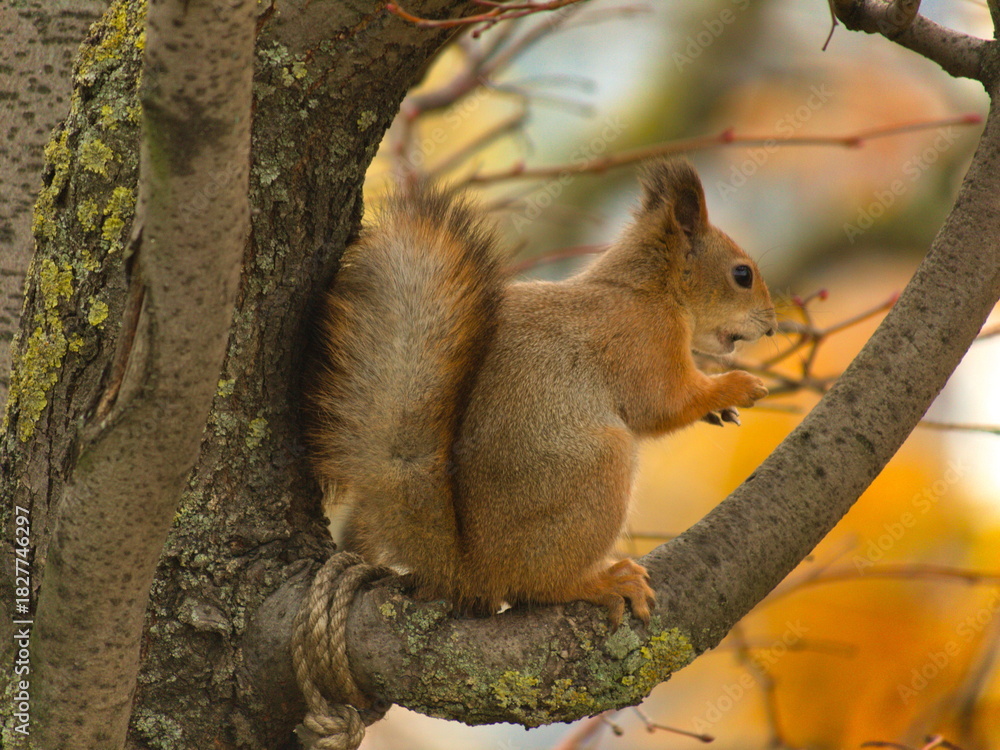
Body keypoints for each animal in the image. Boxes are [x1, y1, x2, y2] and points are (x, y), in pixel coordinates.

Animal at [308, 159, 776, 628]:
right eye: (742, 274)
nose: (772, 325)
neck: (646, 289)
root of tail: (469, 570)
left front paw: (721, 409)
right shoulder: (645, 342)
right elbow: (664, 404)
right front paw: (736, 386)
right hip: (596, 470)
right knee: (537, 586)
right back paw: (600, 582)